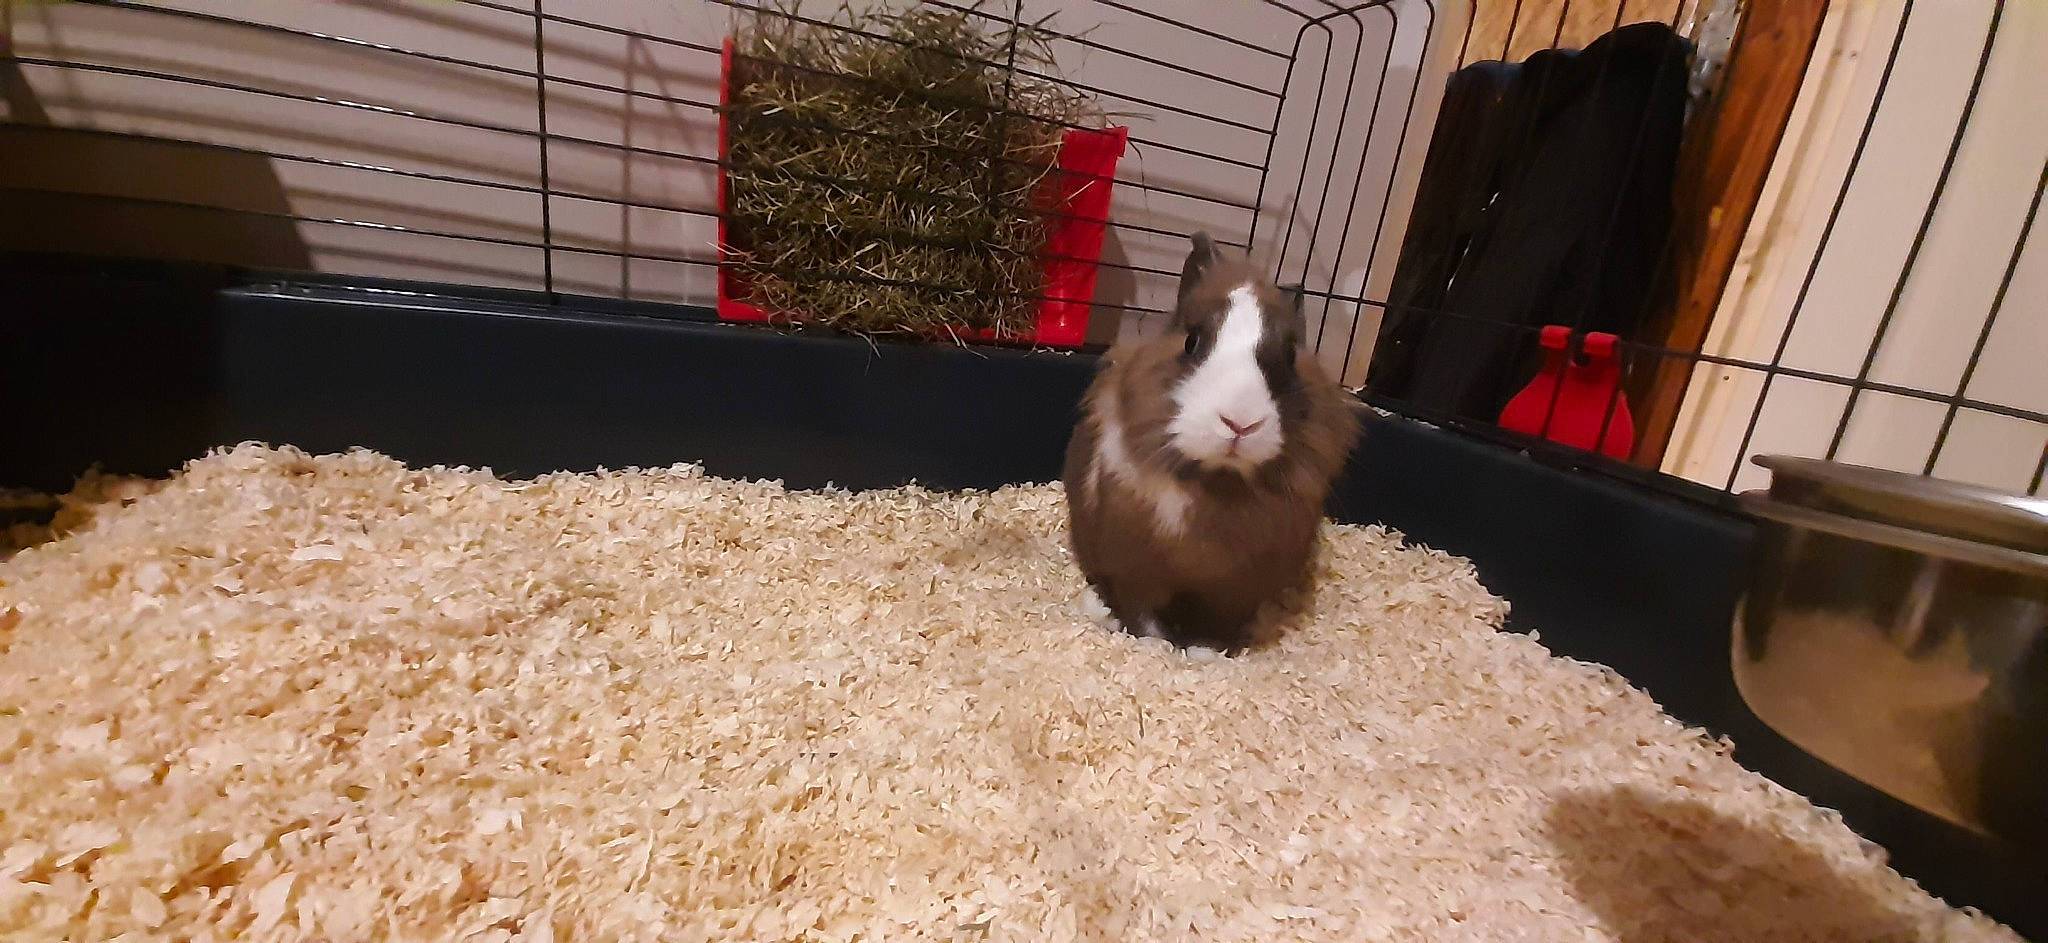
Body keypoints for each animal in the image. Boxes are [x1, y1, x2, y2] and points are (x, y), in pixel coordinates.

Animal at [1062, 232, 1363, 653]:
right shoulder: (1135, 573)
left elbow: (1219, 628)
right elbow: (1143, 616)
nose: (1240, 423)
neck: (1219, 481)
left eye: (1289, 355)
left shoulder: (1236, 593)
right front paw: (1158, 645)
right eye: (1191, 342)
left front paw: (1207, 652)